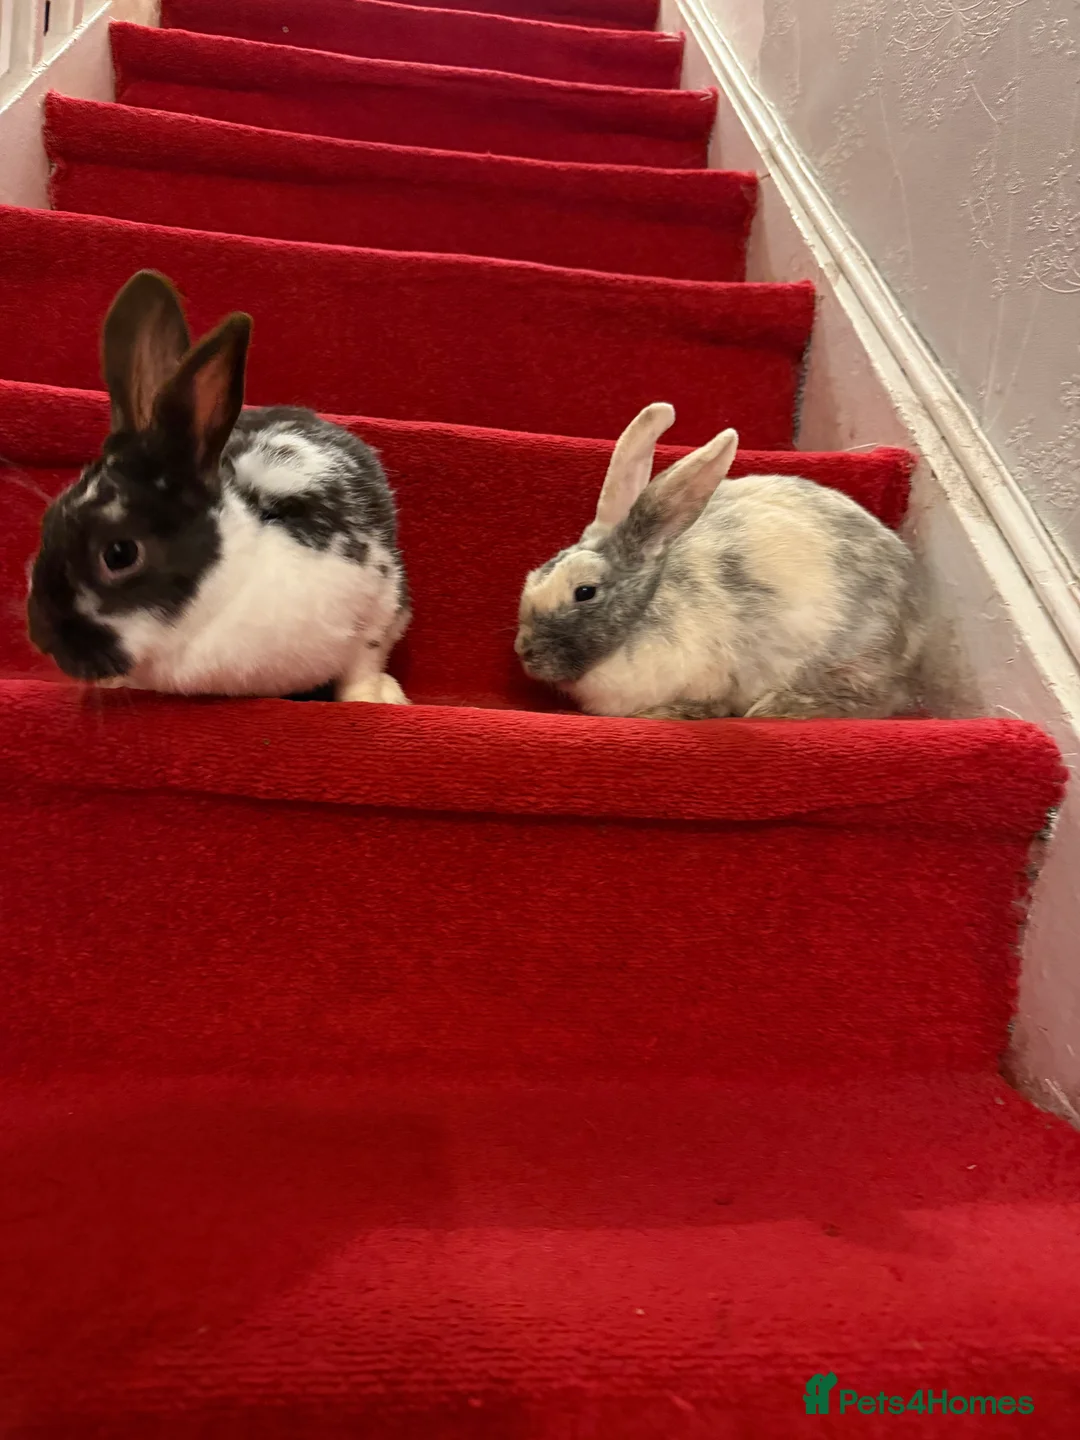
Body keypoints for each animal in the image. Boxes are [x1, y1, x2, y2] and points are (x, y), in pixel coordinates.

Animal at [26, 270, 410, 705]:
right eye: (48, 519)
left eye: (120, 554)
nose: (40, 636)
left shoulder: (381, 597)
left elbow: (364, 660)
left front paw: (374, 698)